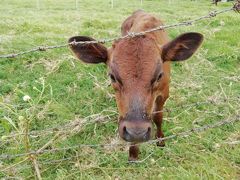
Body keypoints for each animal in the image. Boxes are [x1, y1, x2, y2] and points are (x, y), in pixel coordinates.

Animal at [68, 9, 203, 161]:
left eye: (159, 75)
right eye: (112, 76)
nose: (137, 132)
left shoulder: (164, 93)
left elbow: (158, 116)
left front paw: (160, 140)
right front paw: (133, 152)